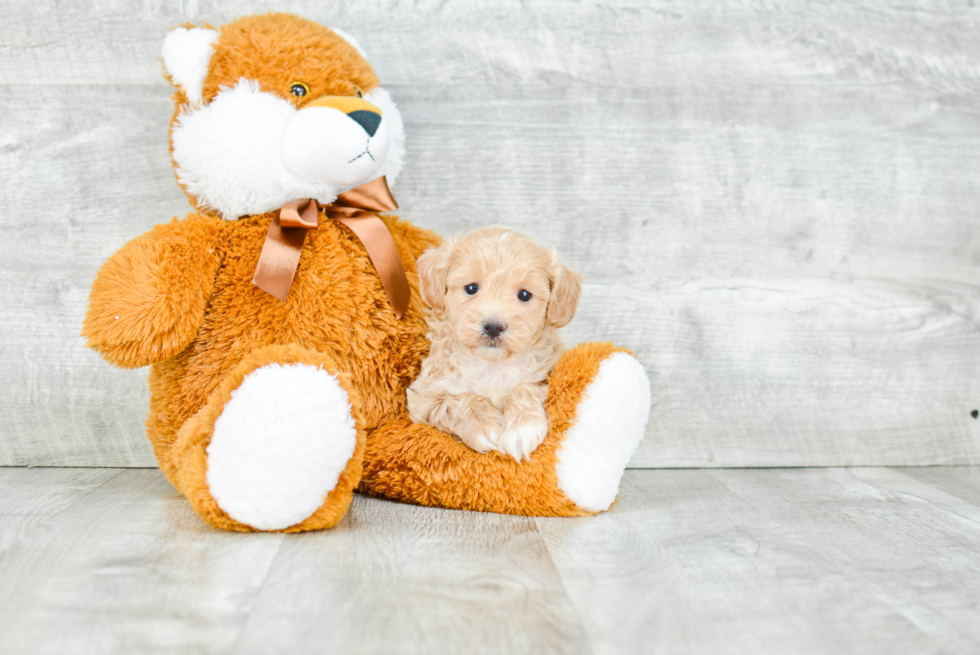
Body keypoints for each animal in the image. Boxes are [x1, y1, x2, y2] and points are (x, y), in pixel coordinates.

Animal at [406, 226, 580, 462]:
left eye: (524, 295)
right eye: (471, 288)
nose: (493, 326)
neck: (491, 364)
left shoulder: (547, 372)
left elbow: (525, 387)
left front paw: (522, 428)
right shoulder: (424, 397)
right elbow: (457, 400)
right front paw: (485, 426)